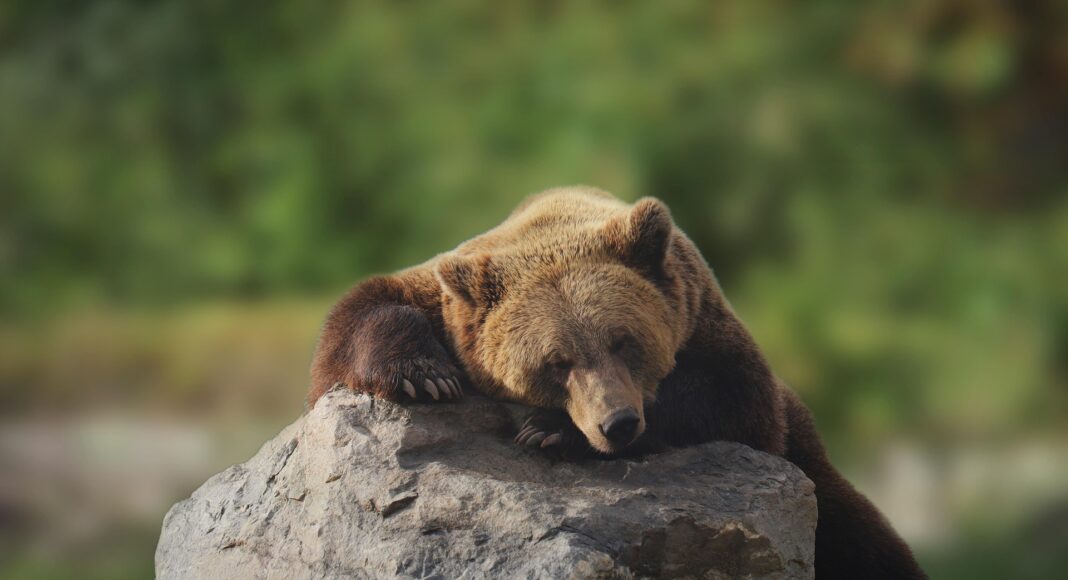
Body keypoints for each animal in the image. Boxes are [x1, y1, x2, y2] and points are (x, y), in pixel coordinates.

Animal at [308, 186, 927, 580]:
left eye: (624, 341)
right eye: (556, 362)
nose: (619, 423)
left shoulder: (708, 328)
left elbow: (731, 397)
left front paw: (551, 430)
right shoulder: (446, 301)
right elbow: (359, 314)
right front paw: (424, 376)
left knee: (861, 538)